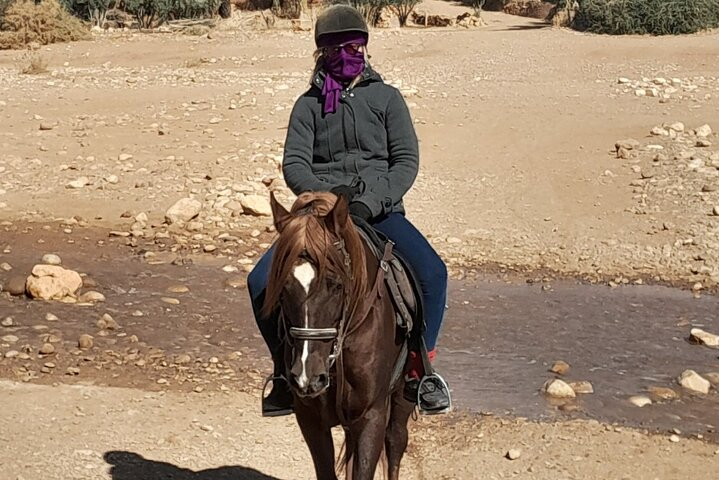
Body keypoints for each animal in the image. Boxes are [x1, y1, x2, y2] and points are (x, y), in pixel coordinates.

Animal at [263, 191, 415, 480]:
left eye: (335, 284)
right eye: (283, 287)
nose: (307, 377)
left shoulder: (372, 416)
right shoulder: (310, 419)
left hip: (402, 395)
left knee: (396, 442)